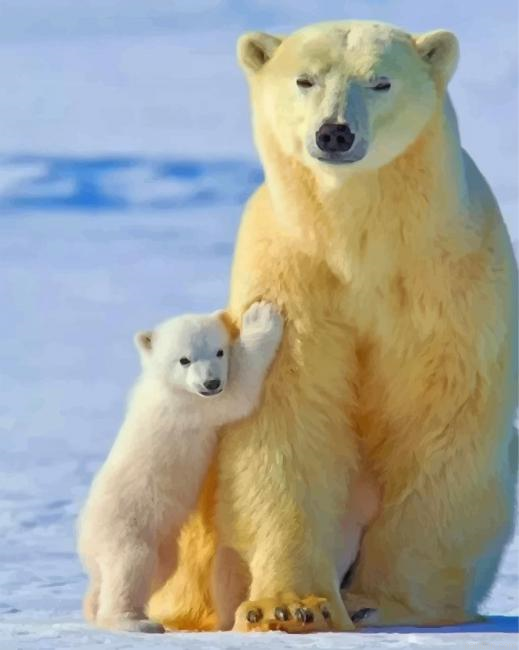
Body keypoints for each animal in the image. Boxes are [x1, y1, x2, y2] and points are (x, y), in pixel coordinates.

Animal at [77, 301, 284, 633]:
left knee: (153, 569)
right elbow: (237, 393)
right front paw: (261, 317)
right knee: (130, 566)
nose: (211, 382)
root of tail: (84, 539)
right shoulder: (191, 406)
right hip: (127, 524)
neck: (165, 385)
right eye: (184, 359)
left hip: (159, 541)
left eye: (218, 351)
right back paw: (135, 621)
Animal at [148, 20, 517, 632]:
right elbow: (289, 418)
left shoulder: (447, 277)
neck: (359, 239)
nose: (334, 133)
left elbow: (438, 417)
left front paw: (384, 601)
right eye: (305, 79)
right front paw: (292, 606)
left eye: (381, 81)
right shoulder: (293, 275)